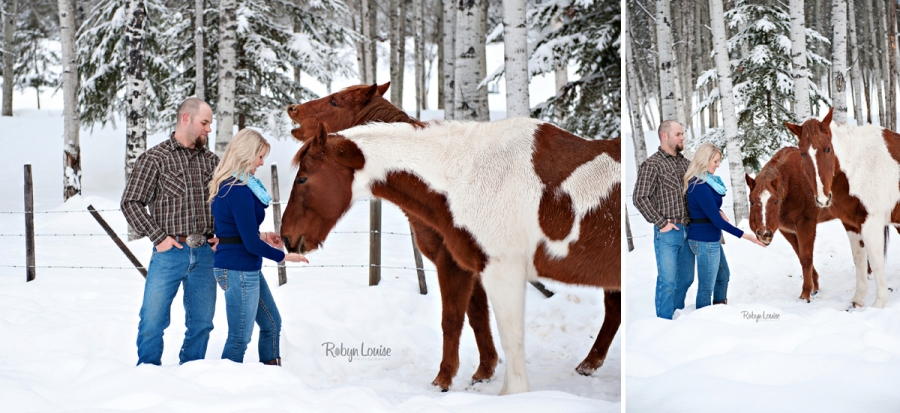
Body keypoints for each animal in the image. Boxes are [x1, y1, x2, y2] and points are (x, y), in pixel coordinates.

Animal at [282, 116, 620, 392]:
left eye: (303, 178)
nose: (286, 237)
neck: (470, 175)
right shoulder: (469, 267)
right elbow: (464, 319)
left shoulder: (501, 272)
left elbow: (508, 336)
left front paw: (511, 394)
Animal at [284, 83, 500, 390]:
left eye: (335, 101)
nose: (293, 108)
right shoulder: (468, 265)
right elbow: (478, 314)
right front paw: (484, 369)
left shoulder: (452, 262)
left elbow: (453, 318)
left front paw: (444, 378)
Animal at [792, 108, 896, 308]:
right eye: (802, 154)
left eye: (828, 148)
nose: (823, 199)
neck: (859, 167)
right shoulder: (852, 225)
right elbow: (859, 259)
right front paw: (857, 301)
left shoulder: (871, 224)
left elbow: (876, 262)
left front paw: (879, 304)